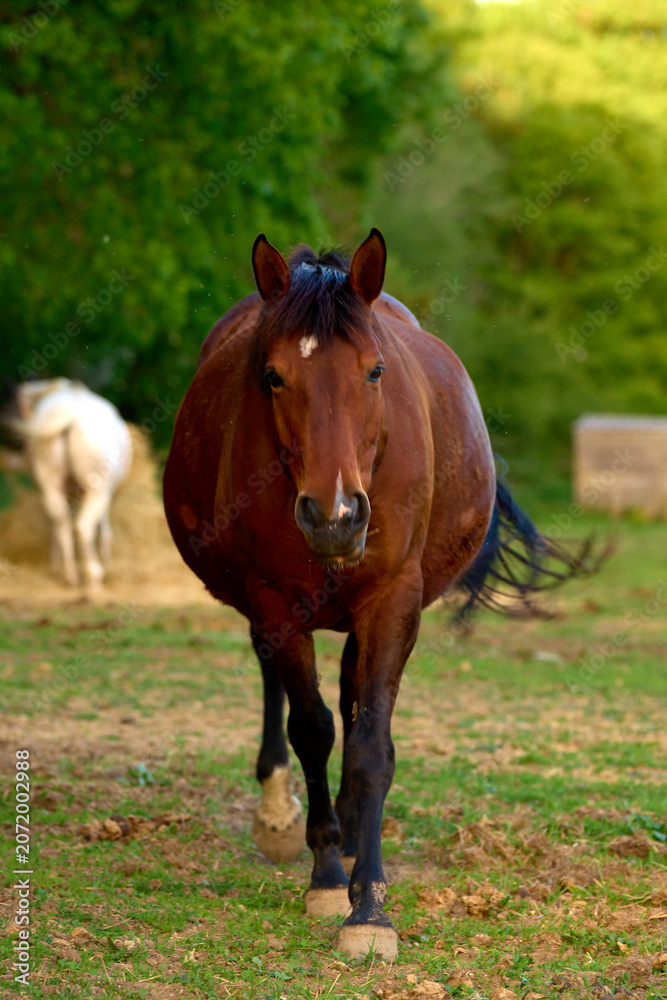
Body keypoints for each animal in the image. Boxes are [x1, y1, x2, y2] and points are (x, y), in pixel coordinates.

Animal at [6, 378, 132, 588]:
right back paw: (94, 575)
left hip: (50, 484)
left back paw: (69, 575)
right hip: (97, 487)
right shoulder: (105, 493)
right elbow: (104, 527)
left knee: (62, 525)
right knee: (83, 527)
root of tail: (70, 416)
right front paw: (107, 558)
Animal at [163, 229, 595, 960]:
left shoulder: (392, 601)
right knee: (284, 691)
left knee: (350, 698)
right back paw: (282, 814)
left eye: (374, 372)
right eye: (273, 376)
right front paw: (327, 878)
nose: (335, 516)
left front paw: (368, 908)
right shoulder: (275, 602)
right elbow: (311, 729)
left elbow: (369, 746)